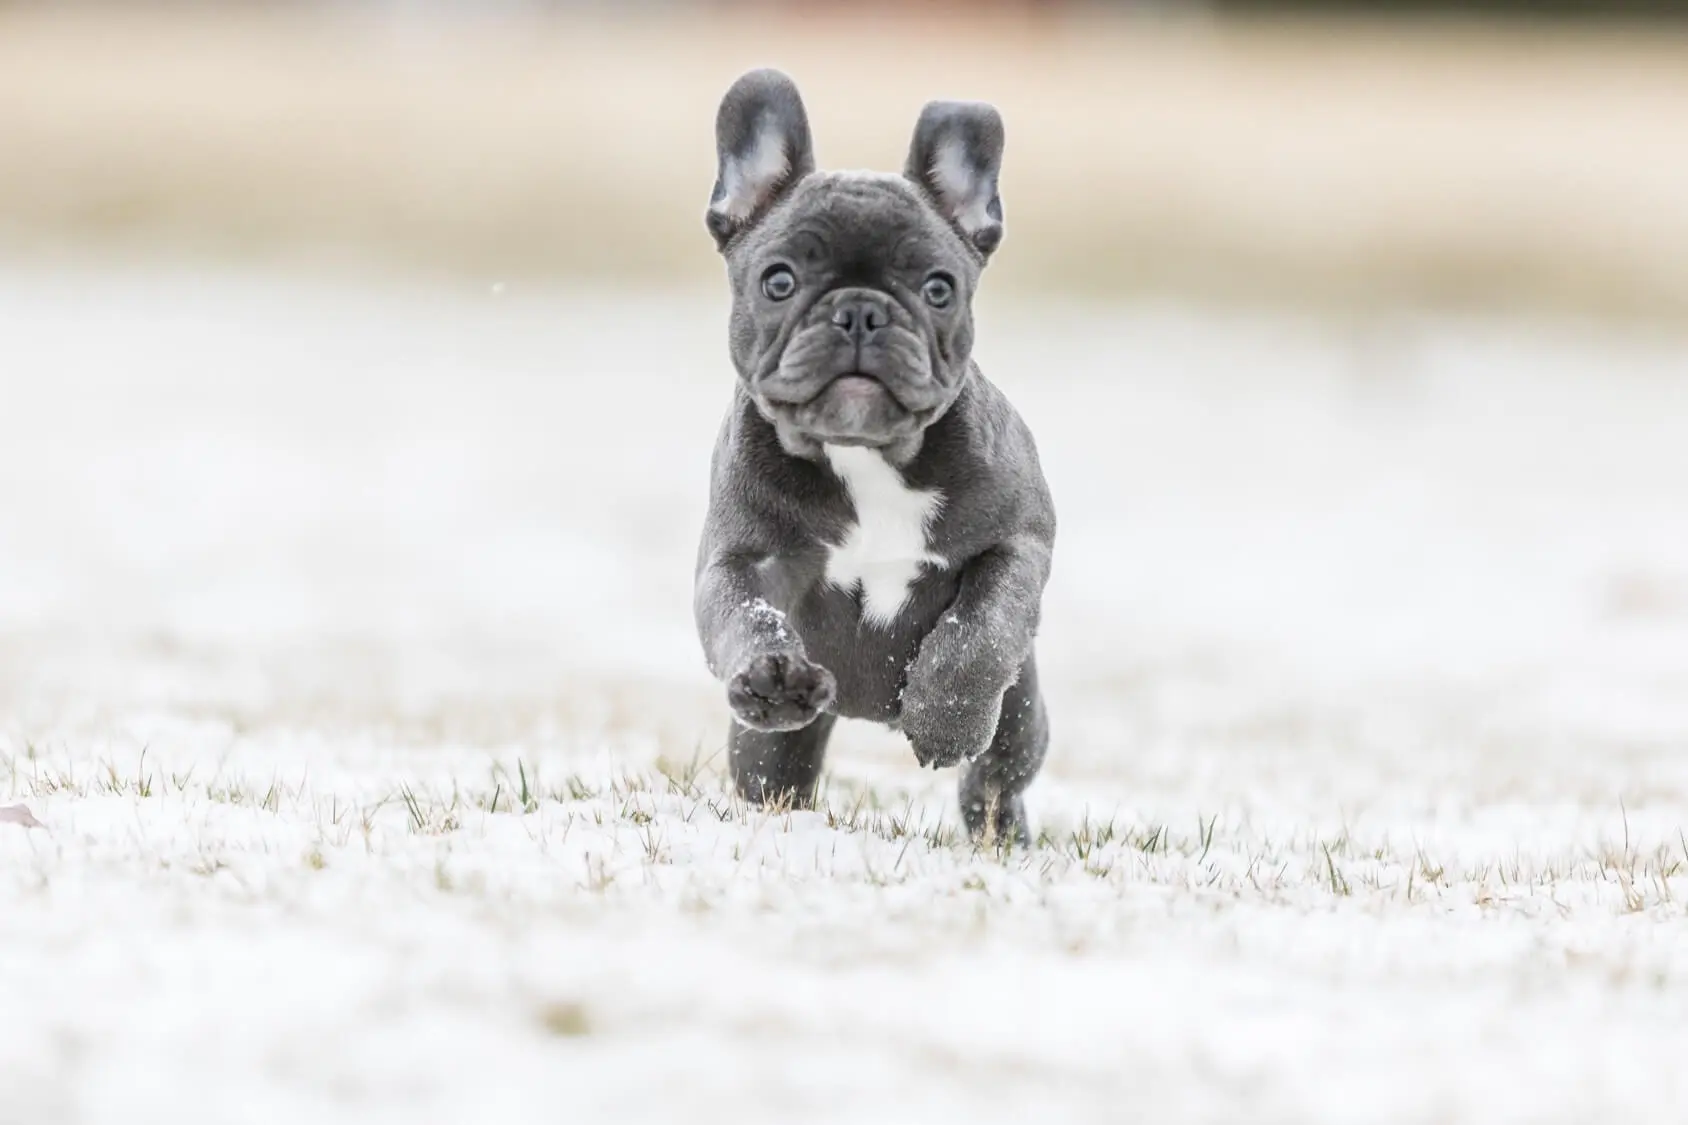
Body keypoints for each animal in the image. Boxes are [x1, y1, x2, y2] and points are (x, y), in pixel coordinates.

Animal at [688, 67, 1053, 841]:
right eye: (779, 280)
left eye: (939, 288)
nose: (861, 310)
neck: (864, 456)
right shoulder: (739, 559)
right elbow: (744, 615)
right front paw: (771, 675)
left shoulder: (1019, 542)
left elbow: (979, 630)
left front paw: (945, 718)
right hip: (767, 750)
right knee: (775, 774)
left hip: (1022, 715)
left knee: (998, 775)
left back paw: (1000, 831)